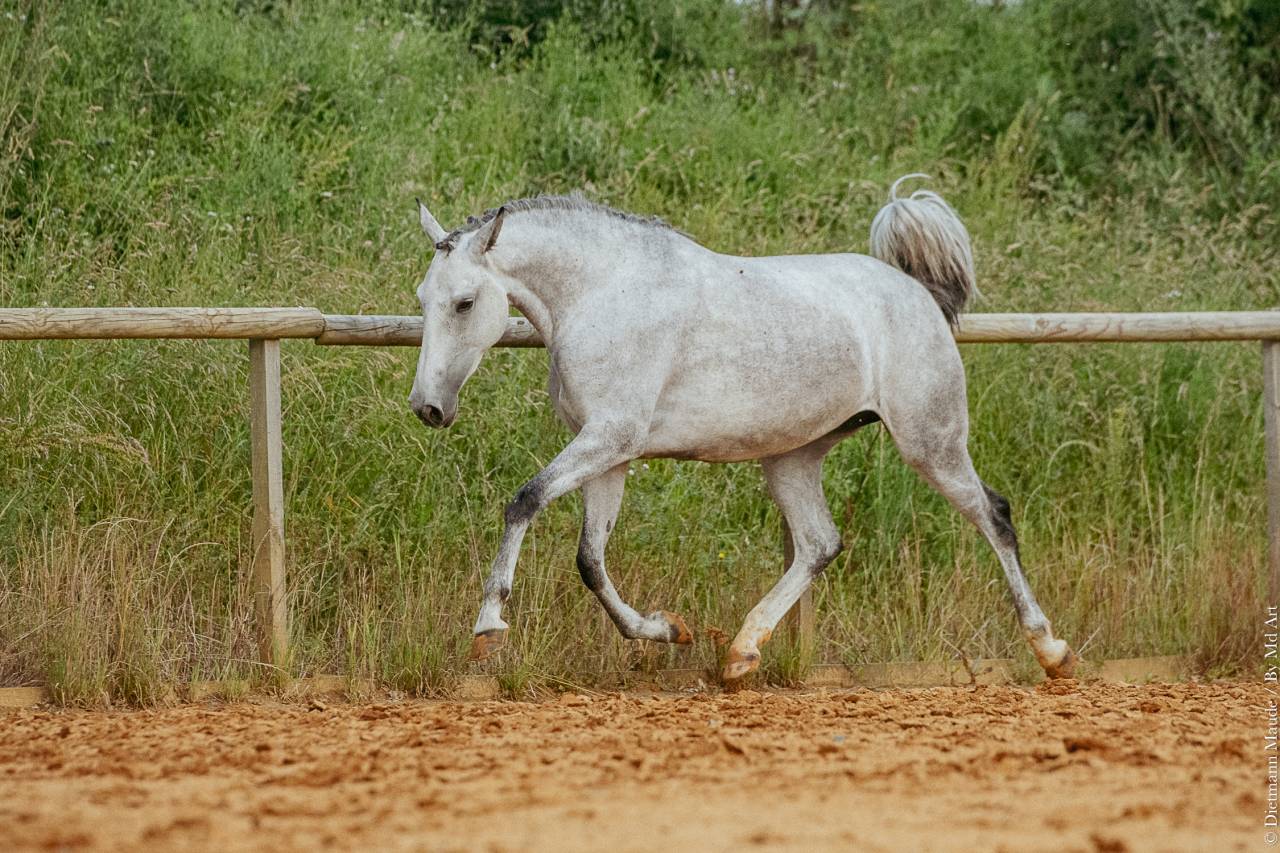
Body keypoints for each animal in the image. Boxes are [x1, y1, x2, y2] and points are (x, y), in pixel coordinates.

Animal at [408, 177, 1077, 682]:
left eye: (465, 302)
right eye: (422, 298)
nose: (428, 407)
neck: (605, 294)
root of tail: (917, 293)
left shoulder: (609, 439)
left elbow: (524, 501)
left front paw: (488, 628)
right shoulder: (610, 453)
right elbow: (591, 561)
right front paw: (667, 630)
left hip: (931, 442)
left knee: (994, 516)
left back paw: (1052, 651)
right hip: (794, 458)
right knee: (819, 544)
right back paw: (740, 653)